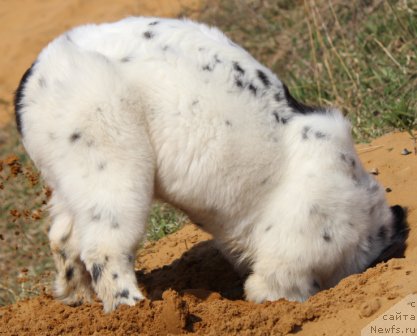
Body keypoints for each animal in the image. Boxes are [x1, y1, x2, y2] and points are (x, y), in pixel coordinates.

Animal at [14, 17, 404, 312]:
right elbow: (274, 285)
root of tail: (37, 73)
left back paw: (78, 301)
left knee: (63, 238)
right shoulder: (296, 250)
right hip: (114, 169)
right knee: (104, 250)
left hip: (73, 177)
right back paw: (134, 310)